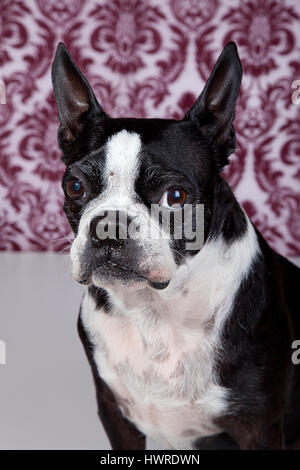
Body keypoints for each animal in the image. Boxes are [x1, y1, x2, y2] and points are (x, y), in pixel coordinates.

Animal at [51, 42, 300, 450]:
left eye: (176, 197)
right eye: (75, 187)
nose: (109, 225)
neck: (156, 312)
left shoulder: (260, 427)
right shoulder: (116, 415)